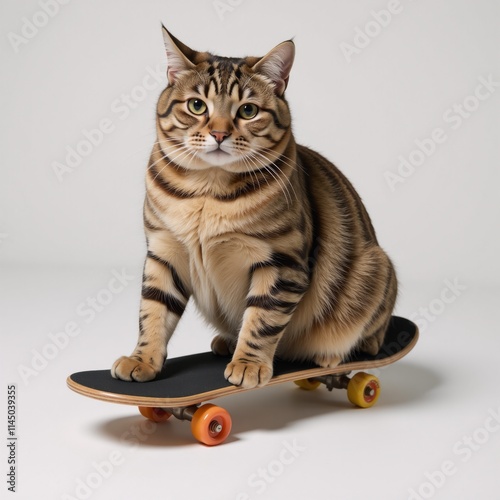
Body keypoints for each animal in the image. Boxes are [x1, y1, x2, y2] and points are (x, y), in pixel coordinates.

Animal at [110, 25, 398, 388]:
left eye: (248, 111)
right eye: (196, 105)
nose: (219, 133)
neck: (207, 194)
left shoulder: (280, 261)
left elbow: (262, 319)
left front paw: (248, 364)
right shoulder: (164, 252)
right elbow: (153, 312)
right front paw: (142, 359)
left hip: (376, 267)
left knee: (371, 339)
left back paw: (329, 358)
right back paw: (225, 342)